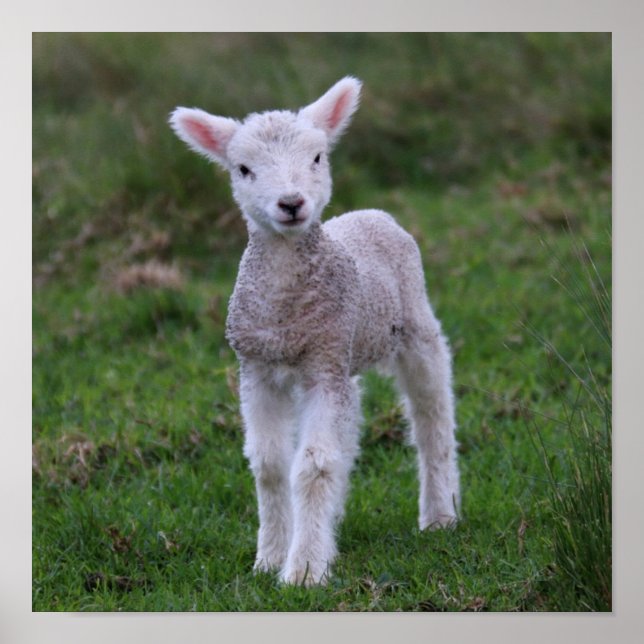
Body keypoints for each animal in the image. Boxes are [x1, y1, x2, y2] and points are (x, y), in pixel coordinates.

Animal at [169, 77, 460, 586]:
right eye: (243, 169)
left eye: (318, 157)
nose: (291, 203)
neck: (286, 311)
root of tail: (372, 213)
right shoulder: (258, 369)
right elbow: (270, 465)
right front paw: (269, 558)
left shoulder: (323, 367)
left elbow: (313, 466)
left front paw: (304, 570)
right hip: (346, 353)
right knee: (352, 427)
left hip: (413, 326)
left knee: (432, 416)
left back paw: (439, 514)